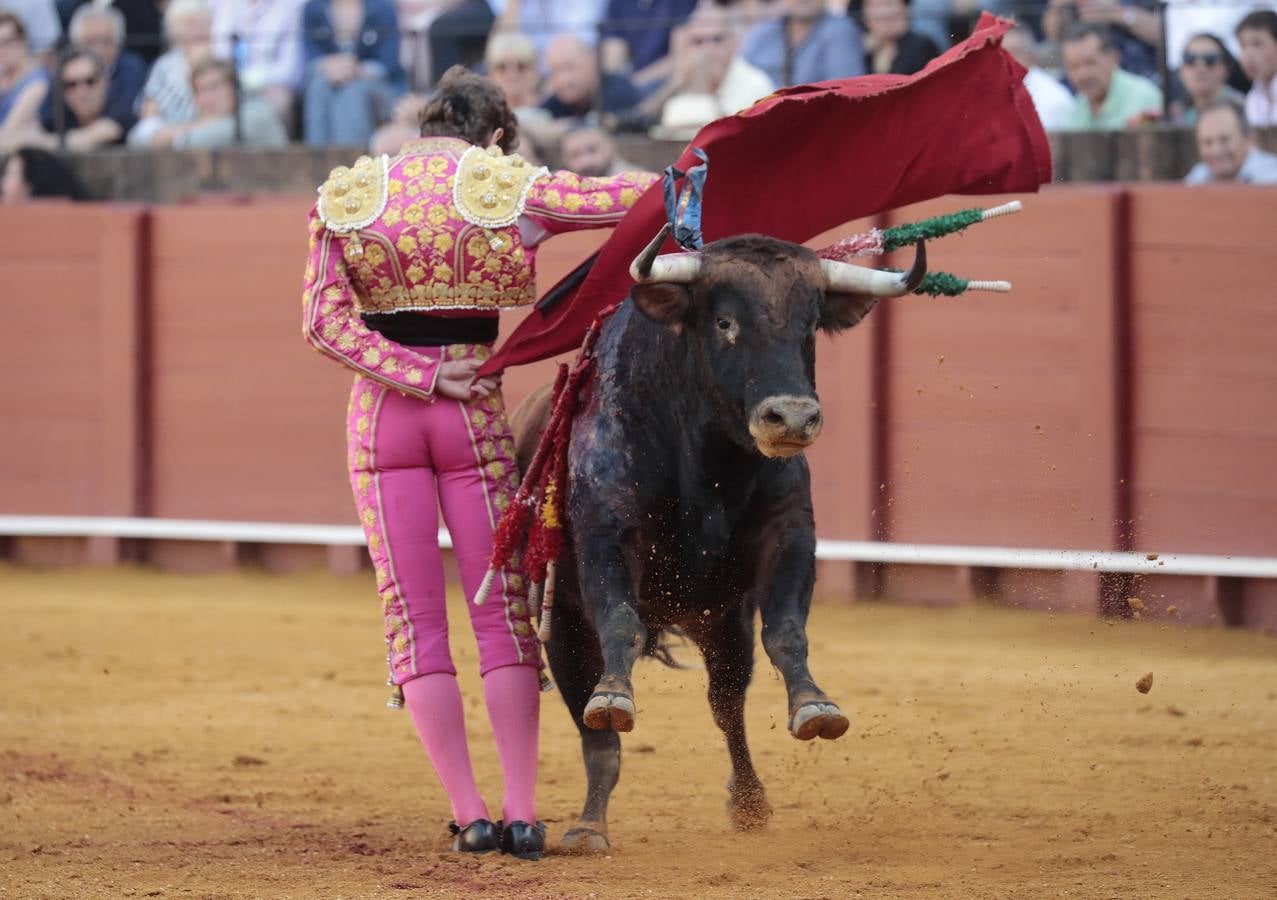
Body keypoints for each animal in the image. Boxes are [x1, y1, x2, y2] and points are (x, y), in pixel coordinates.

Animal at [510, 224, 929, 847]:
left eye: (810, 325)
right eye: (725, 322)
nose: (793, 417)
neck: (711, 462)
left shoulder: (788, 536)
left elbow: (786, 633)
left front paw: (814, 706)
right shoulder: (606, 536)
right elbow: (620, 625)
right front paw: (614, 694)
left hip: (721, 623)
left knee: (726, 704)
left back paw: (750, 801)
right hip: (560, 623)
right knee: (596, 730)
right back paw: (589, 822)